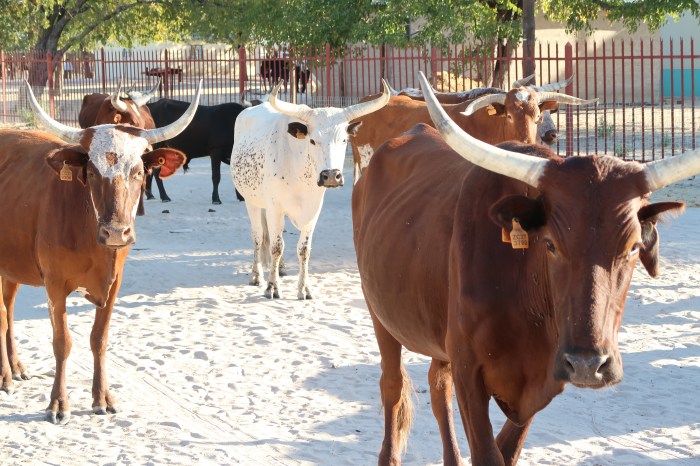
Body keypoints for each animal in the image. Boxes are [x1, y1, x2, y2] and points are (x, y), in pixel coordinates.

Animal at [0, 80, 201, 424]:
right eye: (92, 172)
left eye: (139, 171)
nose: (116, 232)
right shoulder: (55, 285)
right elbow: (62, 342)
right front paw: (58, 403)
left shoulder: (114, 282)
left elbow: (99, 339)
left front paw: (102, 398)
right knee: (2, 317)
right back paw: (5, 377)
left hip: (12, 265)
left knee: (9, 310)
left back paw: (16, 367)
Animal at [231, 80, 390, 300]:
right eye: (313, 140)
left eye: (344, 140)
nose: (331, 175)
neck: (299, 173)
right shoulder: (275, 209)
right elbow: (275, 246)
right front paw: (272, 287)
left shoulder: (313, 211)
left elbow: (303, 249)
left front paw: (304, 288)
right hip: (252, 201)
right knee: (258, 236)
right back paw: (256, 276)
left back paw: (281, 269)